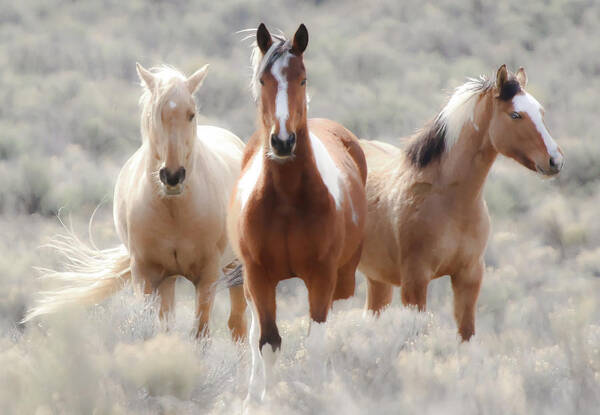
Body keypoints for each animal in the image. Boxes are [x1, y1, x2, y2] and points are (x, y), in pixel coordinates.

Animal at [24, 62, 246, 342]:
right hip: (169, 280)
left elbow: (201, 334)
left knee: (238, 325)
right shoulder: (146, 276)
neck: (175, 211)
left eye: (191, 114)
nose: (172, 176)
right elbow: (153, 329)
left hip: (234, 268)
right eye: (154, 115)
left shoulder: (207, 278)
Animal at [229, 22, 368, 404]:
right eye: (264, 80)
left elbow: (316, 343)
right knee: (253, 335)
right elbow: (268, 343)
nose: (282, 142)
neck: (288, 200)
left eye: (302, 78)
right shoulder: (259, 277)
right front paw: (265, 401)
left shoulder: (322, 276)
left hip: (343, 278)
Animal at [358, 66, 564, 342]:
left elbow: (466, 334)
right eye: (515, 114)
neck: (450, 201)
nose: (555, 160)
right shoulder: (415, 281)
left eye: (540, 112)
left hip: (377, 278)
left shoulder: (469, 276)